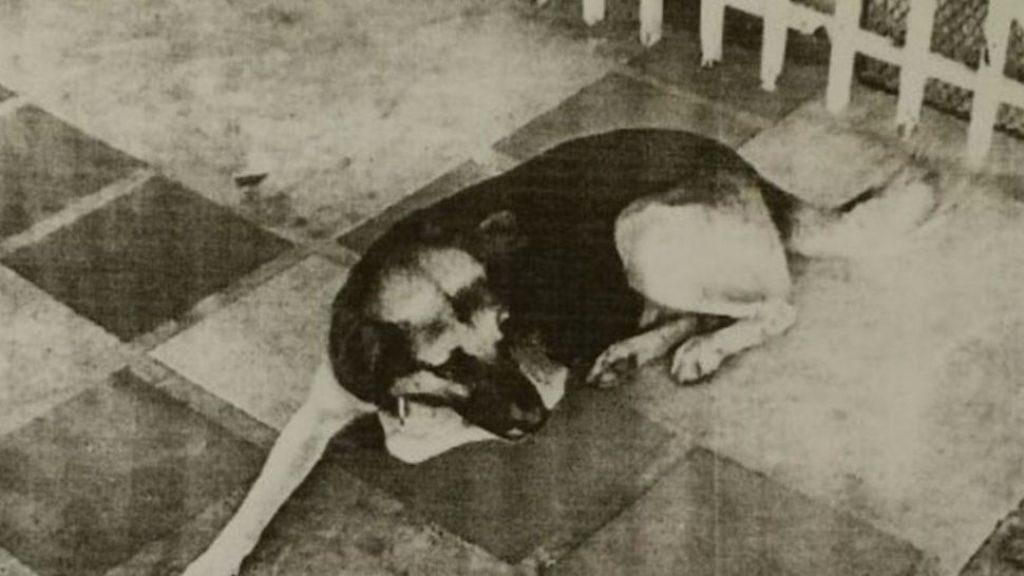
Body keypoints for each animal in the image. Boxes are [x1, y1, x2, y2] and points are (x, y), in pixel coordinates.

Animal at [182, 129, 935, 575]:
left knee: (776, 307)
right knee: (690, 312)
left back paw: (704, 350)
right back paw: (637, 350)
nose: (539, 424)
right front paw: (216, 557)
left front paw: (408, 427)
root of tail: (744, 166)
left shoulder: (535, 384)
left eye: (506, 330)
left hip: (641, 230)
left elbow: (410, 441)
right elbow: (262, 492)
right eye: (451, 363)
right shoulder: (319, 407)